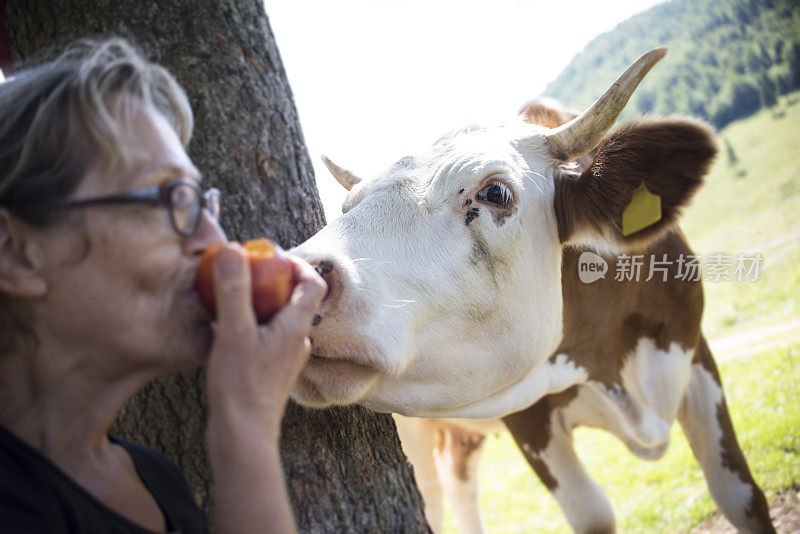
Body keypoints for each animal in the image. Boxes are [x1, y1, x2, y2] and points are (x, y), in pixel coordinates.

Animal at [292, 48, 776, 532]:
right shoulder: (525, 414)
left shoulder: (695, 349)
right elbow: (594, 514)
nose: (298, 275)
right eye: (347, 206)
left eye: (495, 192)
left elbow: (741, 496)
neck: (601, 361)